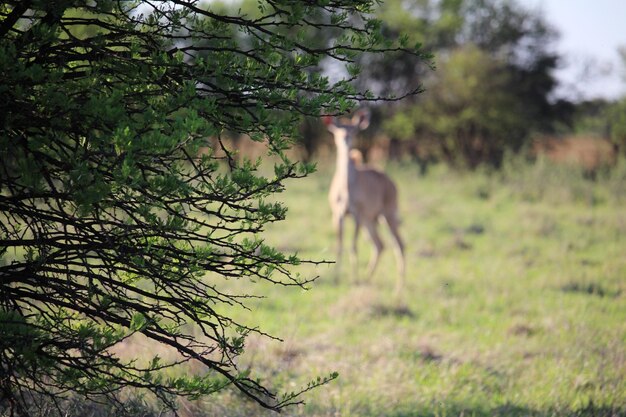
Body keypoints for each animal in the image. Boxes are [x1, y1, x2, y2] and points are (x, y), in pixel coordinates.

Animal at [322, 110, 404, 290]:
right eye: (338, 130)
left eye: (353, 130)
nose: (345, 137)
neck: (347, 188)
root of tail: (392, 184)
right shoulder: (338, 214)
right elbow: (339, 246)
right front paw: (336, 279)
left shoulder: (357, 214)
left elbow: (353, 247)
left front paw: (354, 280)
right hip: (371, 220)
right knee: (380, 245)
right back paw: (367, 278)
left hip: (387, 214)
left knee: (399, 244)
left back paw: (398, 288)